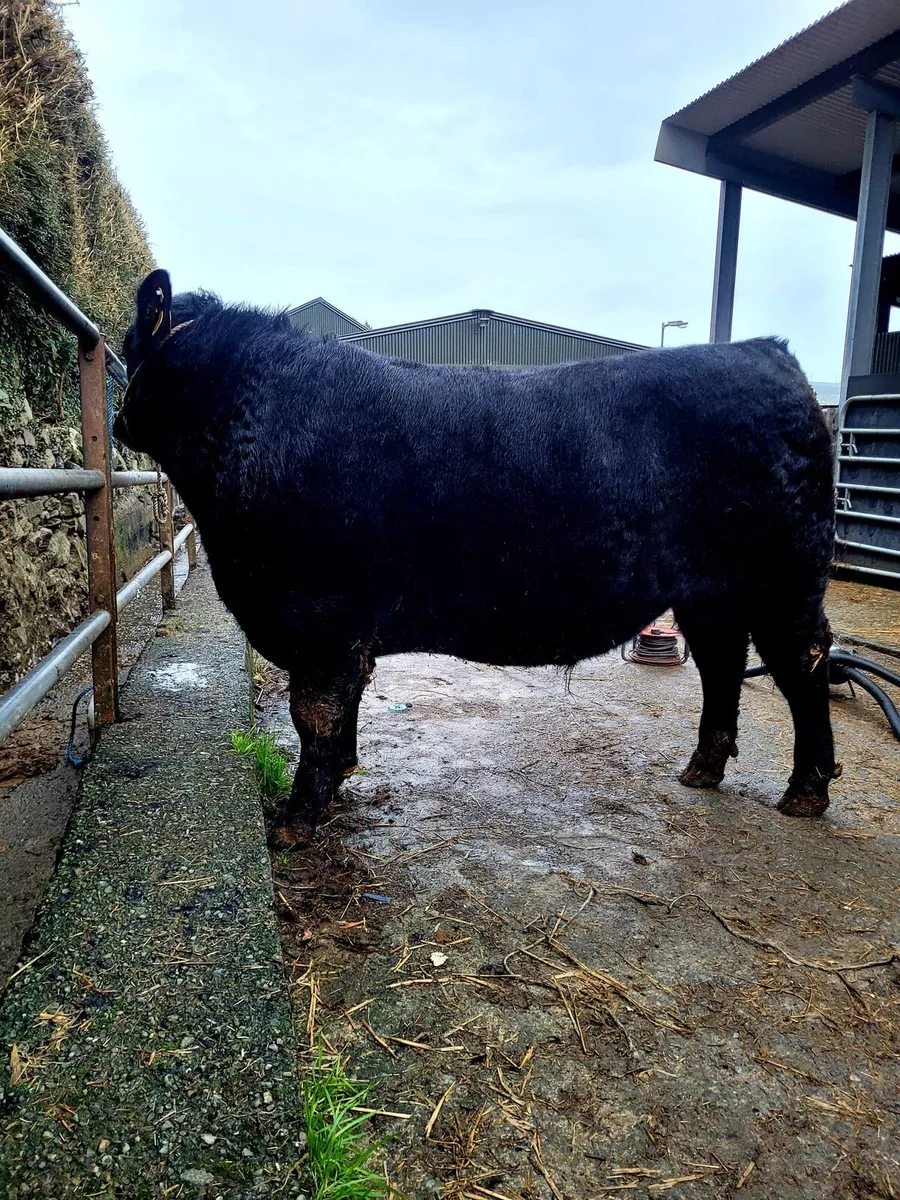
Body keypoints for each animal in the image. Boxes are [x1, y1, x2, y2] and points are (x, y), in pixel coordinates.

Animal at [115, 269, 839, 844]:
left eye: (129, 348)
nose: (117, 420)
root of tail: (766, 353)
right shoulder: (338, 629)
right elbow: (342, 710)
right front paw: (342, 775)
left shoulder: (321, 615)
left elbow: (315, 714)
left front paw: (295, 822)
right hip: (709, 591)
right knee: (722, 665)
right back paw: (702, 771)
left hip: (785, 580)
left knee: (801, 665)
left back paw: (805, 792)